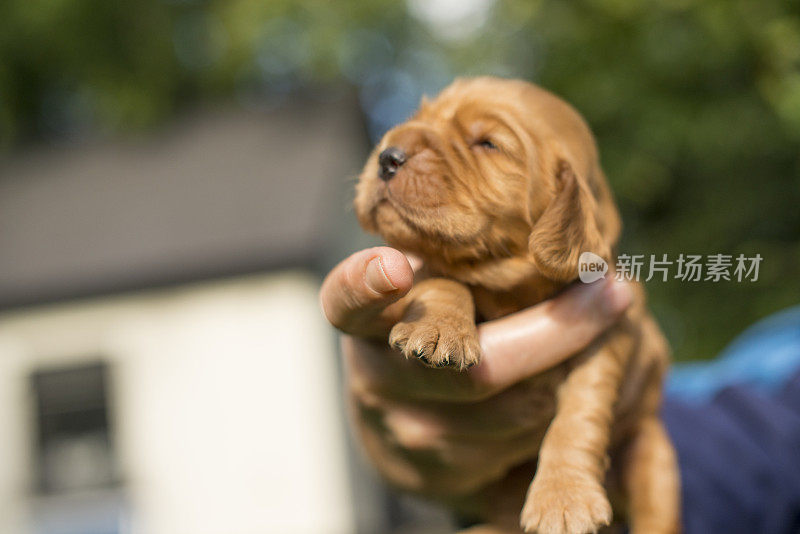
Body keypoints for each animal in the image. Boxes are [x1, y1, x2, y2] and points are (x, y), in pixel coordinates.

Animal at [354, 78, 680, 534]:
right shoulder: (436, 266)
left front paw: (564, 498)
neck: (507, 286)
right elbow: (444, 280)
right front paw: (438, 329)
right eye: (418, 119)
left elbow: (582, 409)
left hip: (654, 456)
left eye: (487, 143)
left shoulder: (612, 330)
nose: (387, 156)